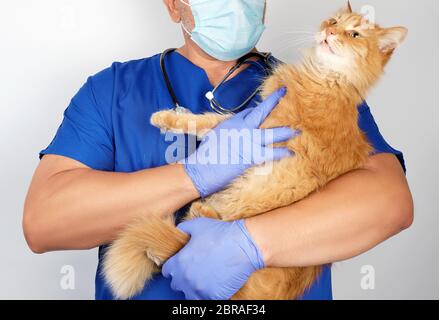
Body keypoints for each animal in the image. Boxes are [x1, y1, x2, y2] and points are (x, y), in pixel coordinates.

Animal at [103, 3, 410, 300]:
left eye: (354, 34)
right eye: (334, 22)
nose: (330, 33)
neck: (327, 78)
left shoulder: (263, 124)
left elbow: (209, 123)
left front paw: (165, 118)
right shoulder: (253, 118)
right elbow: (208, 121)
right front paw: (174, 116)